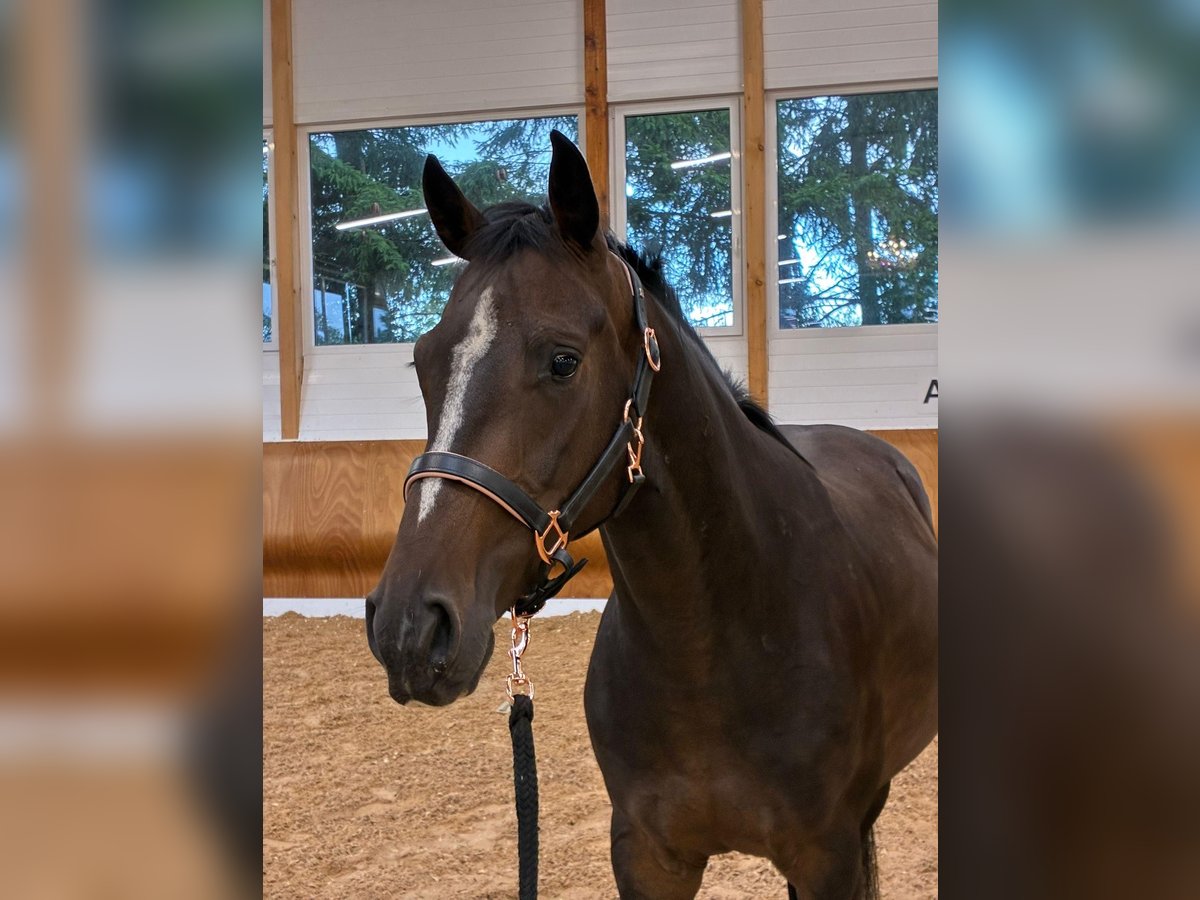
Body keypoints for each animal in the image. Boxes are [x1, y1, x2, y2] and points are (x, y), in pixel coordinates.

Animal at [365, 131, 938, 899]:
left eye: (564, 361)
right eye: (425, 362)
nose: (408, 627)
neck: (716, 641)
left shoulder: (828, 857)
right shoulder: (648, 855)